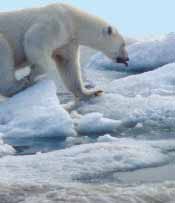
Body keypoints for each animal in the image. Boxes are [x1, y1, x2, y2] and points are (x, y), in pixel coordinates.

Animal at [0, 3, 128, 98]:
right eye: (123, 44)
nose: (127, 58)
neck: (73, 20)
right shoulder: (55, 24)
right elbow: (34, 40)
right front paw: (31, 75)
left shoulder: (67, 41)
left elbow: (68, 65)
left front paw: (92, 92)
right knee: (5, 53)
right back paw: (19, 85)